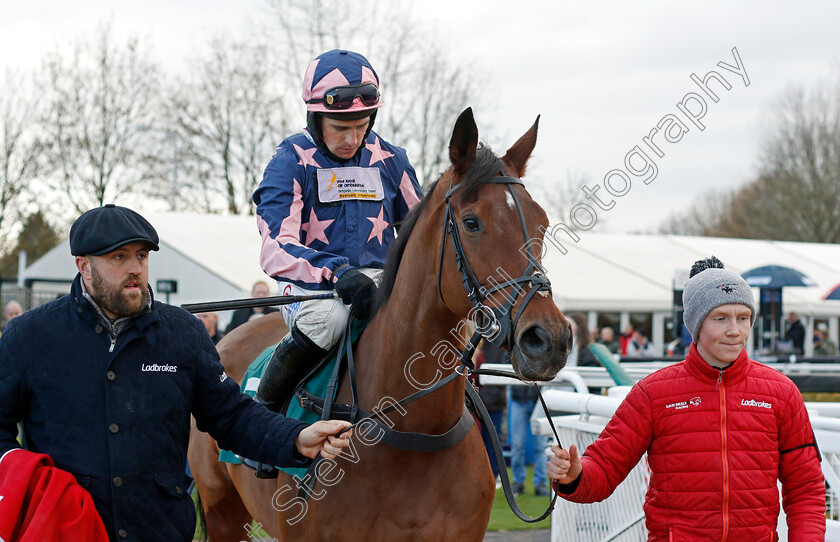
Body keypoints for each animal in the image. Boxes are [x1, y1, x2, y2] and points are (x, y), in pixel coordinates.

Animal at [189, 108, 572, 540]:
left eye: (542, 223)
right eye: (472, 223)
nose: (548, 339)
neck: (414, 431)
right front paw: (352, 283)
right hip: (223, 509)